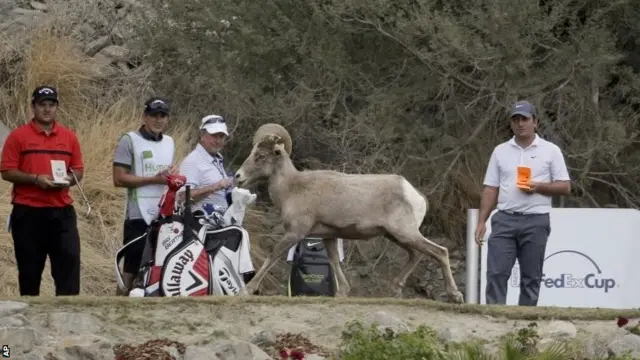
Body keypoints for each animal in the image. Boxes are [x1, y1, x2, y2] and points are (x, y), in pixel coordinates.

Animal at [235, 122, 464, 302]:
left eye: (261, 156)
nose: (238, 176)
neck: (292, 189)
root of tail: (414, 194)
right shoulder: (328, 236)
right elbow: (334, 261)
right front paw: (342, 293)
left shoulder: (295, 233)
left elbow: (272, 257)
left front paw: (247, 290)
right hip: (396, 236)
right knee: (416, 254)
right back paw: (396, 289)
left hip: (404, 233)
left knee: (440, 252)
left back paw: (455, 295)